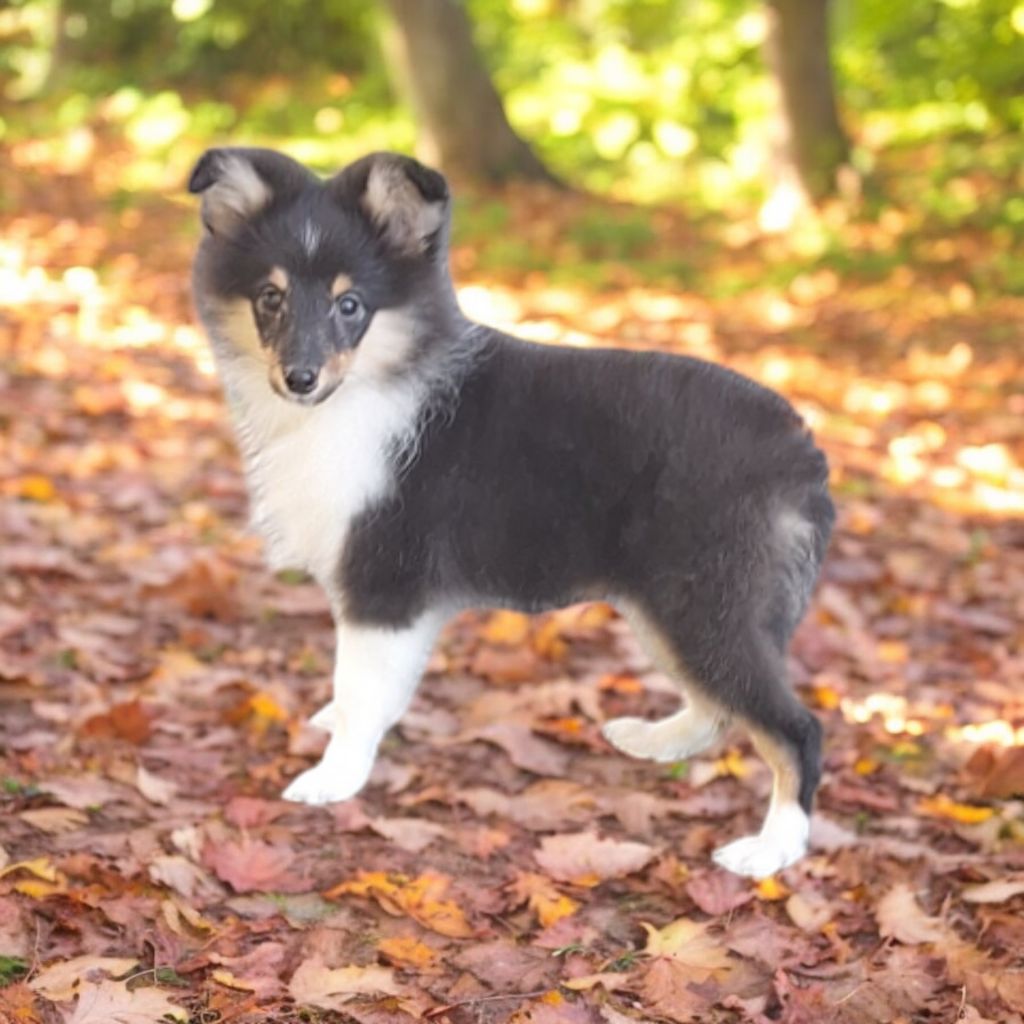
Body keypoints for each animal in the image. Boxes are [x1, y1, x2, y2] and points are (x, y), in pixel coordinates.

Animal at [188, 148, 835, 876]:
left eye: (349, 304)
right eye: (269, 297)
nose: (300, 379)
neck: (372, 385)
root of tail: (803, 449)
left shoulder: (385, 582)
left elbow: (359, 686)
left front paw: (334, 776)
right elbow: (372, 689)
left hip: (707, 597)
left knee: (795, 728)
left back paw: (772, 847)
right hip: (670, 605)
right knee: (719, 704)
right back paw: (654, 739)